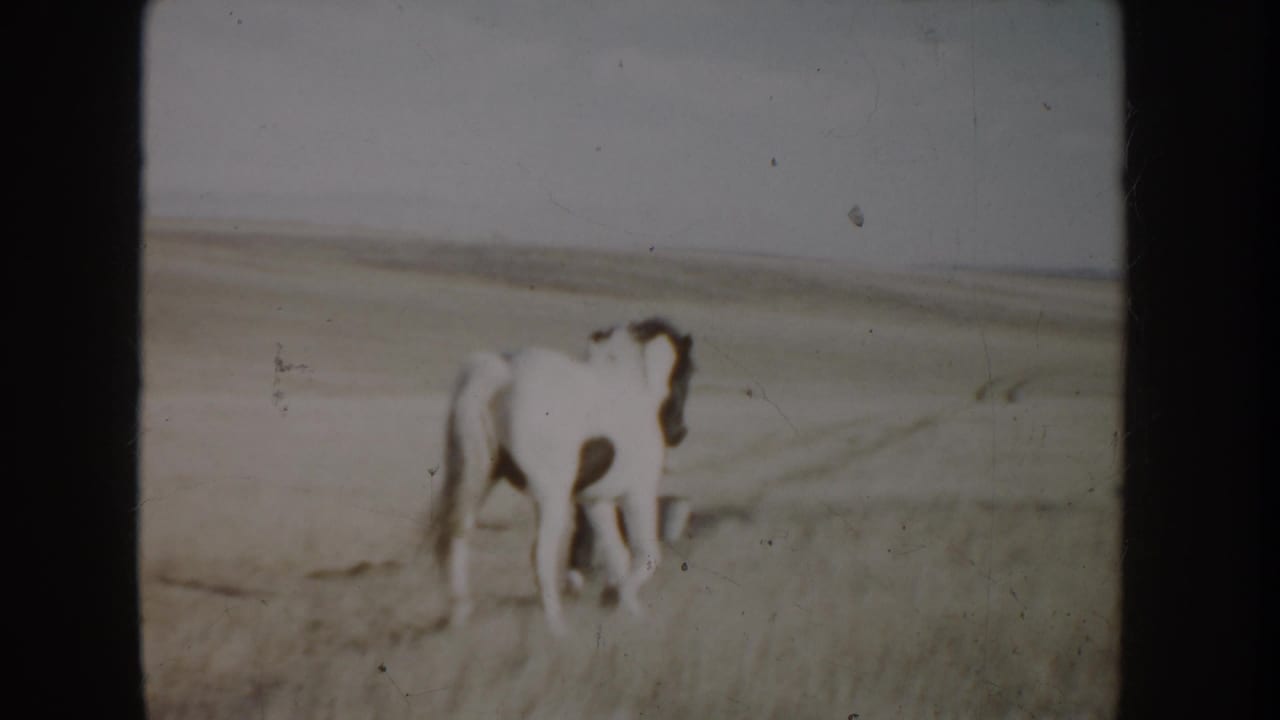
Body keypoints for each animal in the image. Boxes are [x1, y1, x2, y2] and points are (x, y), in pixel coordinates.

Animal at [428, 317, 694, 635]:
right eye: (684, 373)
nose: (678, 433)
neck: (633, 391)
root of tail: (502, 374)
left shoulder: (597, 500)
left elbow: (617, 555)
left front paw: (623, 610)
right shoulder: (637, 494)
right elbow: (646, 557)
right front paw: (626, 605)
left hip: (478, 479)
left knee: (458, 537)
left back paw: (459, 618)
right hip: (550, 499)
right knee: (541, 556)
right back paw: (557, 629)